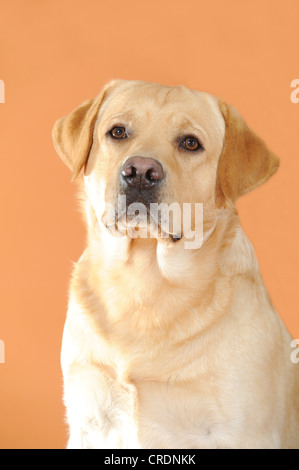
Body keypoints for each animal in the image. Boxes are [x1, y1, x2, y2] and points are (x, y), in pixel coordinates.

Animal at [52, 80, 299, 448]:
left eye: (190, 143)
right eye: (118, 132)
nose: (140, 171)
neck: (144, 282)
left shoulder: (244, 433)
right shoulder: (88, 423)